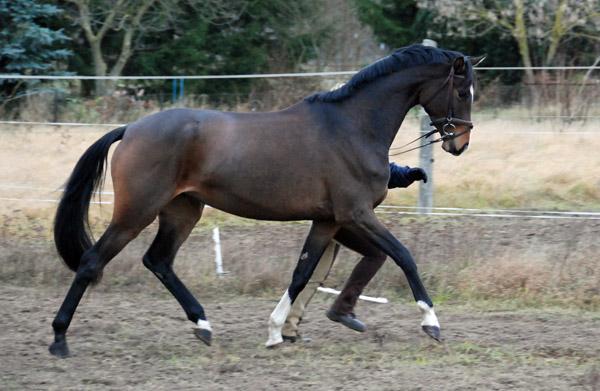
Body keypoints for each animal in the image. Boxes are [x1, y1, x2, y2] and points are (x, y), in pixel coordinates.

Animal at [49, 44, 486, 356]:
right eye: (462, 91)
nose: (460, 143)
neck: (353, 126)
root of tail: (131, 128)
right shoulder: (357, 214)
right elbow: (404, 256)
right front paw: (431, 322)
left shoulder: (329, 221)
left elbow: (303, 273)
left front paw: (278, 332)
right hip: (135, 212)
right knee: (92, 262)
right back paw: (59, 339)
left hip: (182, 211)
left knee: (158, 261)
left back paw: (203, 325)